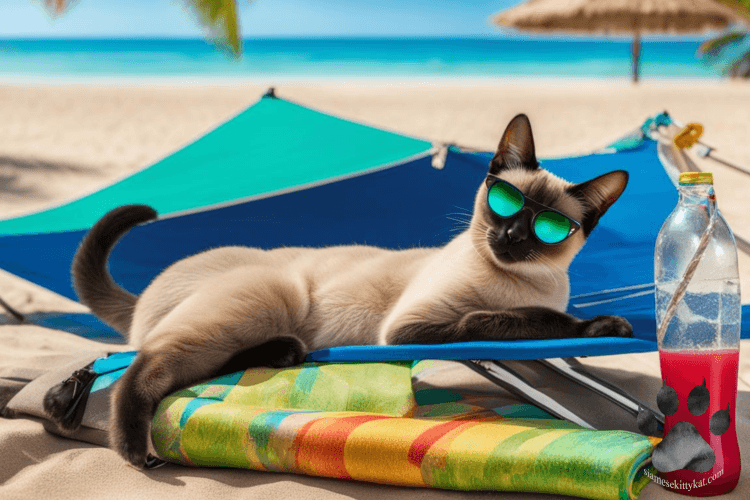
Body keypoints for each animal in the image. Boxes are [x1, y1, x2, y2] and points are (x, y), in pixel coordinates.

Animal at [44, 113, 636, 464]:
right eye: (506, 205)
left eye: (547, 229)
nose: (510, 237)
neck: (515, 279)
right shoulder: (414, 328)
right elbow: (522, 320)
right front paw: (601, 325)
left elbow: (536, 318)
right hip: (264, 301)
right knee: (142, 365)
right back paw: (132, 449)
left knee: (191, 365)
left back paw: (284, 353)